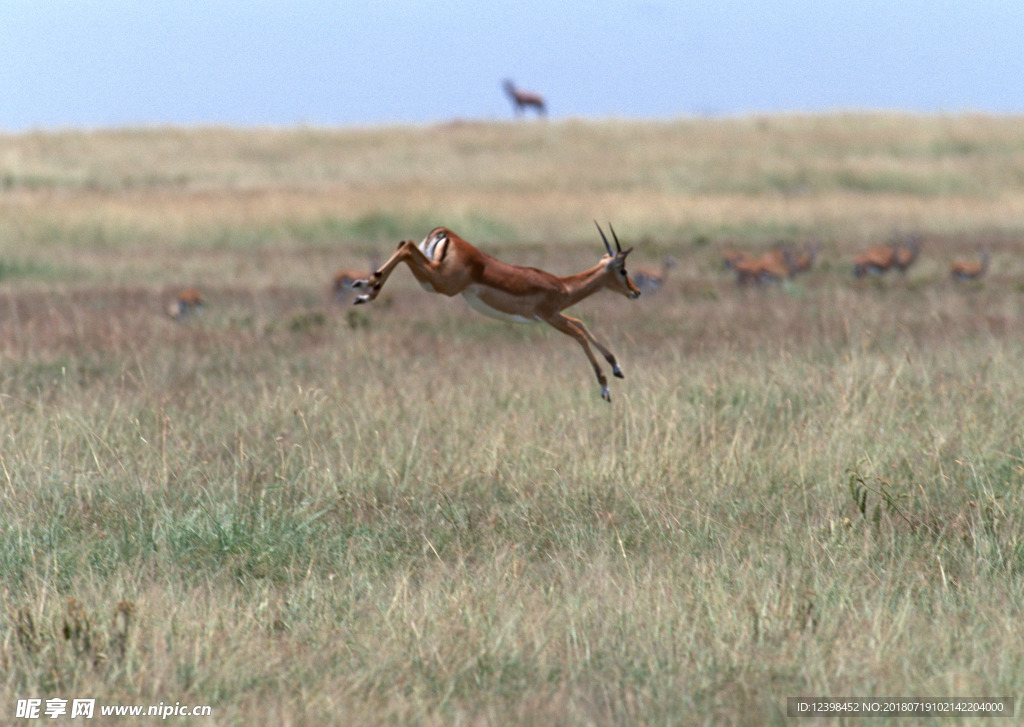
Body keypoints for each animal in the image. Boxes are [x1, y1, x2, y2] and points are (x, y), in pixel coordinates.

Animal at [352, 225, 638, 401]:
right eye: (623, 269)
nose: (635, 291)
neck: (562, 285)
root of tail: (448, 233)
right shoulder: (549, 315)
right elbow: (579, 333)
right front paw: (605, 388)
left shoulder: (554, 316)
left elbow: (582, 324)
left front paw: (617, 368)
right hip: (441, 282)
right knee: (406, 246)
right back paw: (366, 286)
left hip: (431, 278)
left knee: (403, 244)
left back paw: (365, 291)